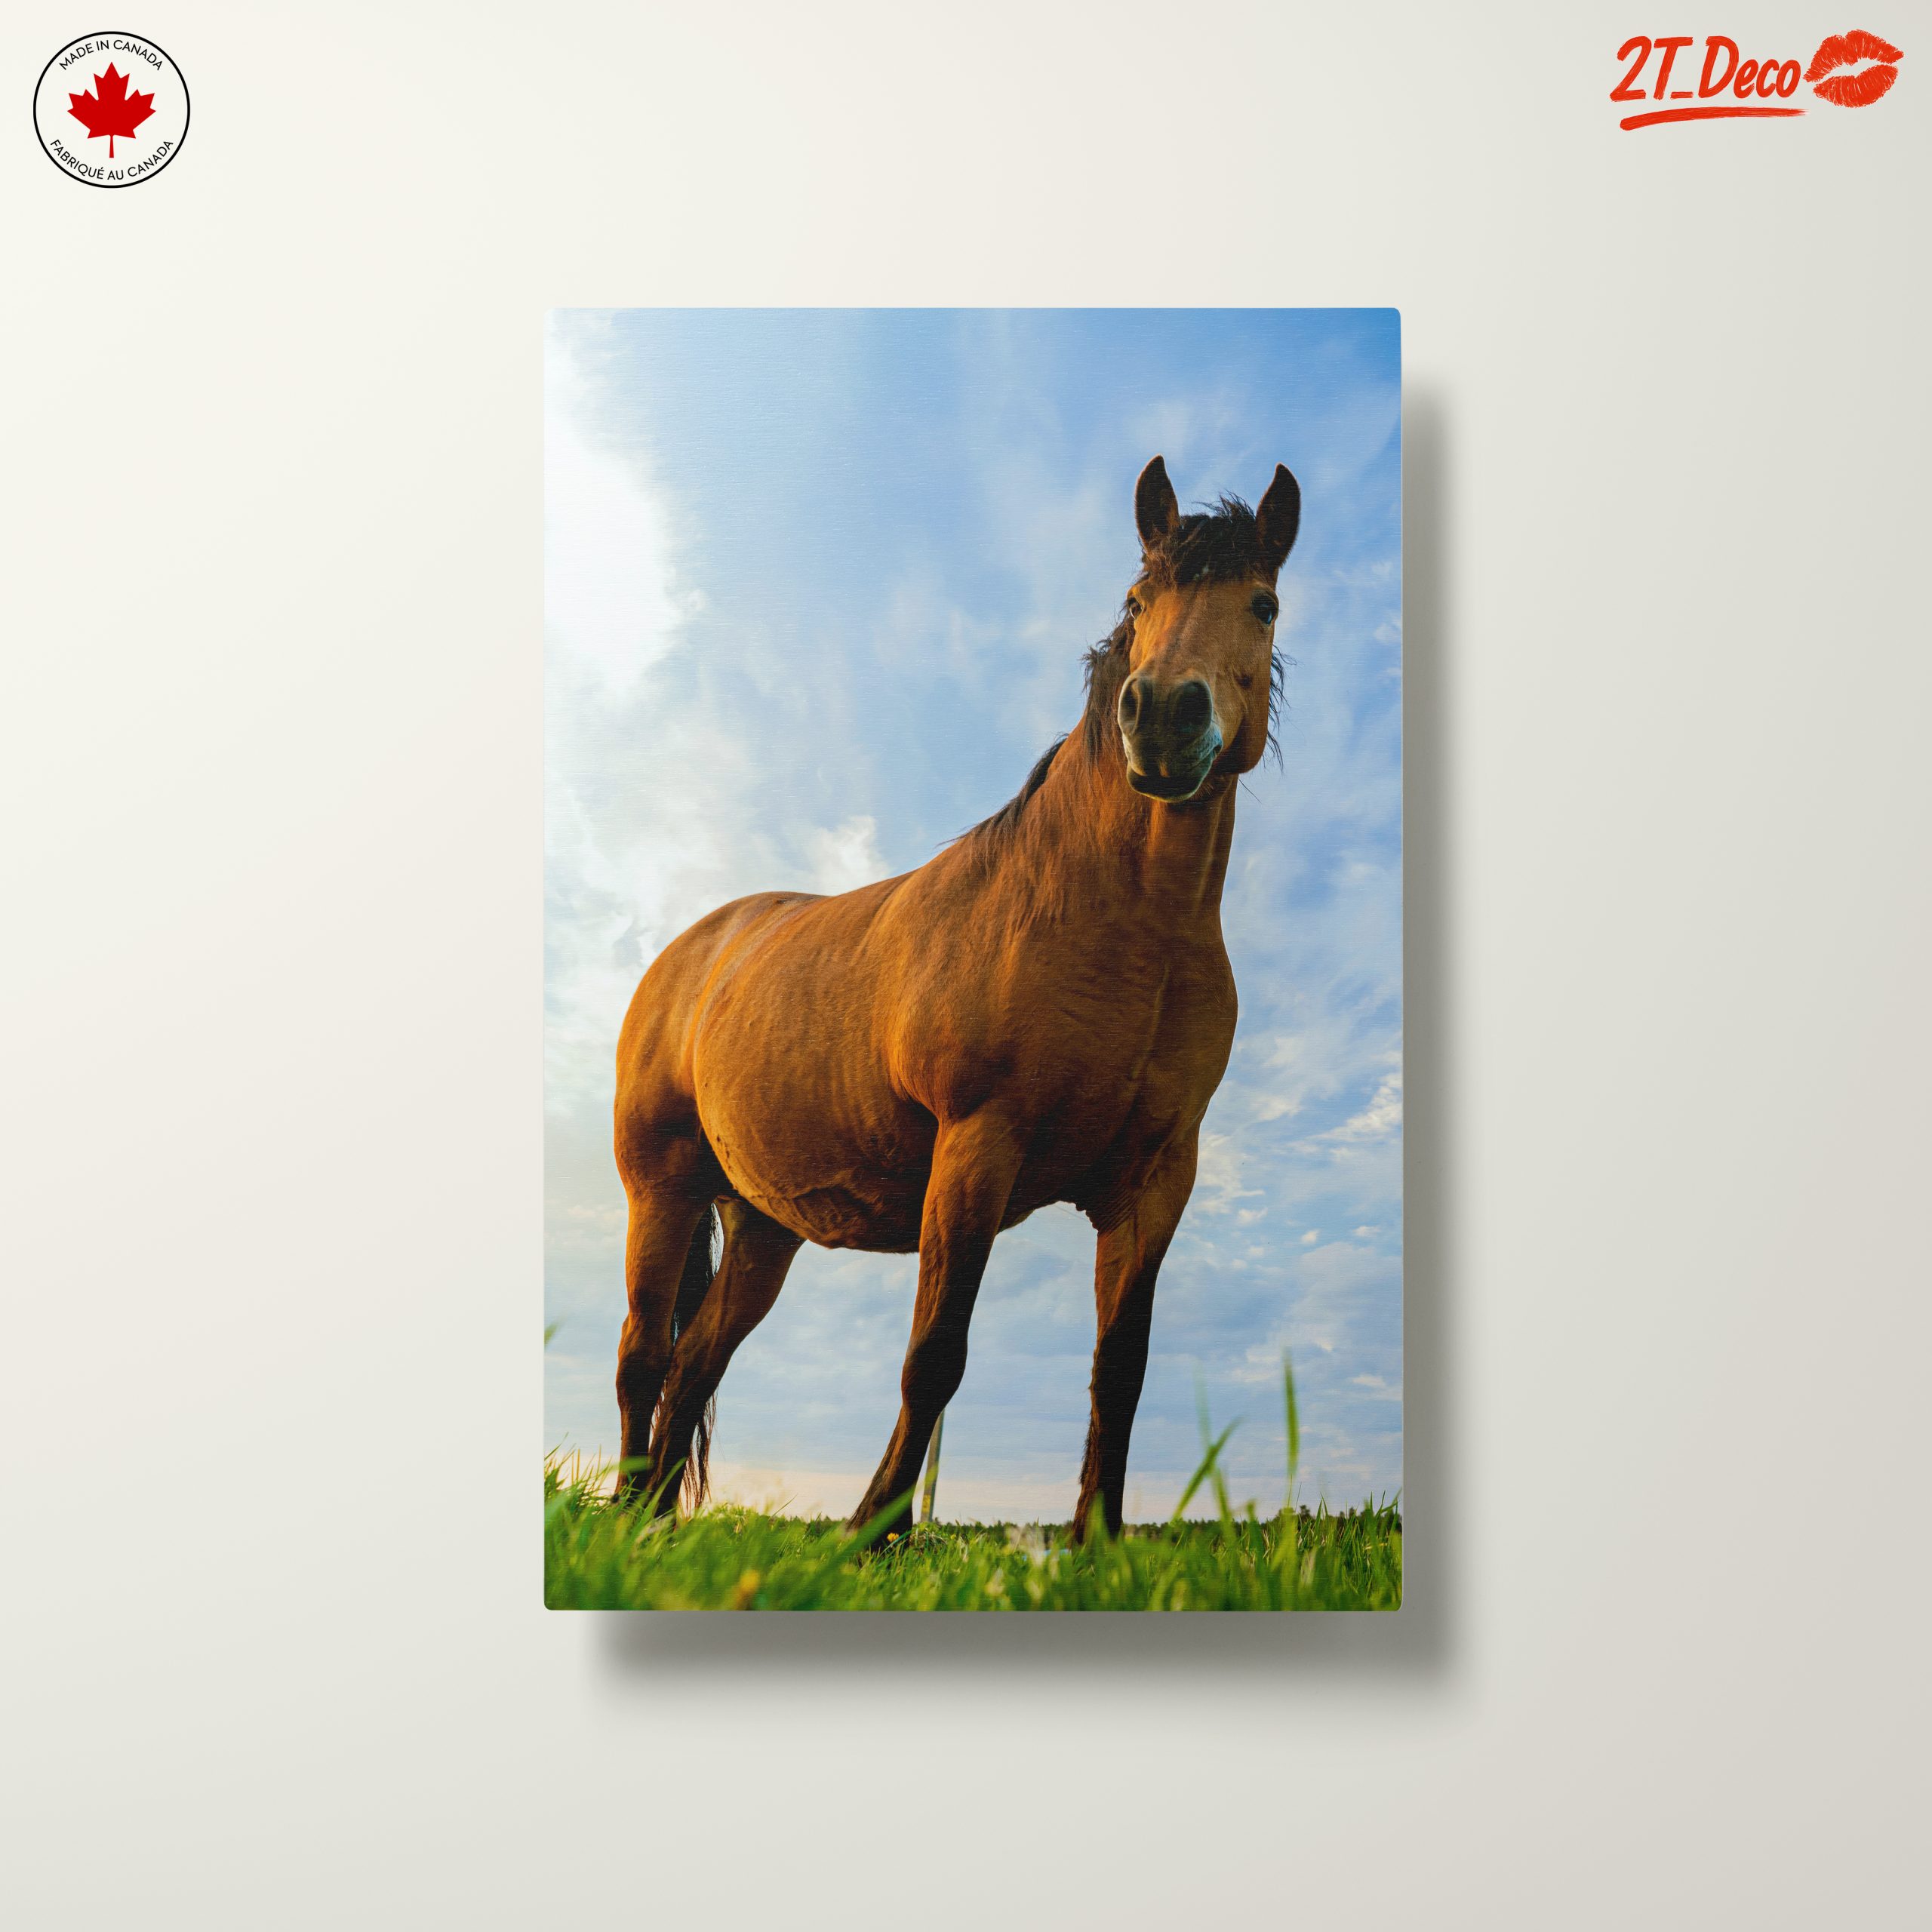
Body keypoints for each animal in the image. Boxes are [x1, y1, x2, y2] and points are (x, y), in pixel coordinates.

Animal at [611, 453, 1300, 1540]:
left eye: (1263, 604)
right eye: (1137, 599)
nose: (1163, 717)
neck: (1120, 925)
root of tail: (694, 950)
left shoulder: (1156, 1181)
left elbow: (1121, 1371)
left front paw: (1097, 1545)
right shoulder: (979, 1144)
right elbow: (934, 1356)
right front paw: (872, 1535)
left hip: (763, 1229)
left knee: (694, 1364)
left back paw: (652, 1526)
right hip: (663, 1187)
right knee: (643, 1359)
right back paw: (617, 1515)